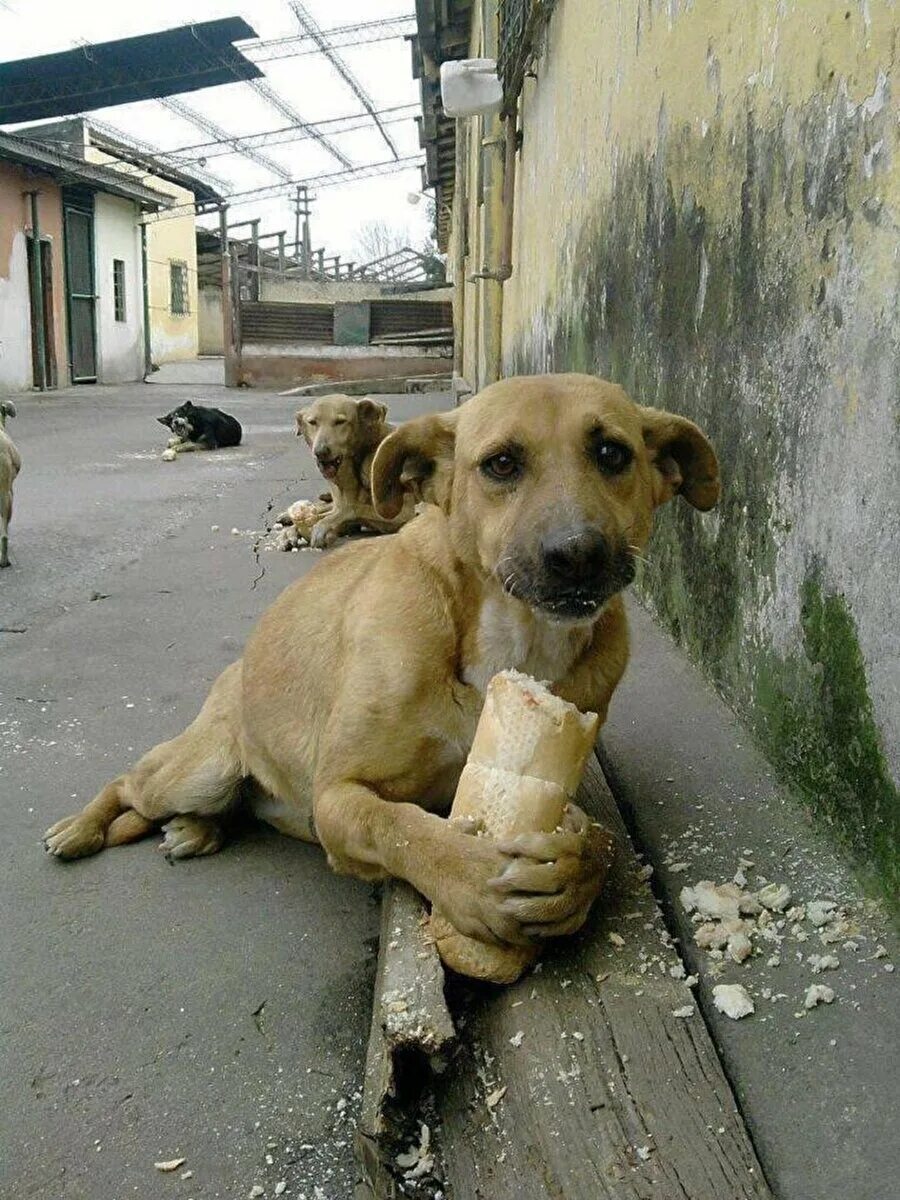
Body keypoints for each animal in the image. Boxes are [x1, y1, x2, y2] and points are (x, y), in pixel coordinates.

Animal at [283, 396, 417, 549]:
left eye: (340, 422)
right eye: (312, 422)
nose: (320, 452)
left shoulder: (403, 513)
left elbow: (350, 508)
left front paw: (321, 526)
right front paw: (293, 530)